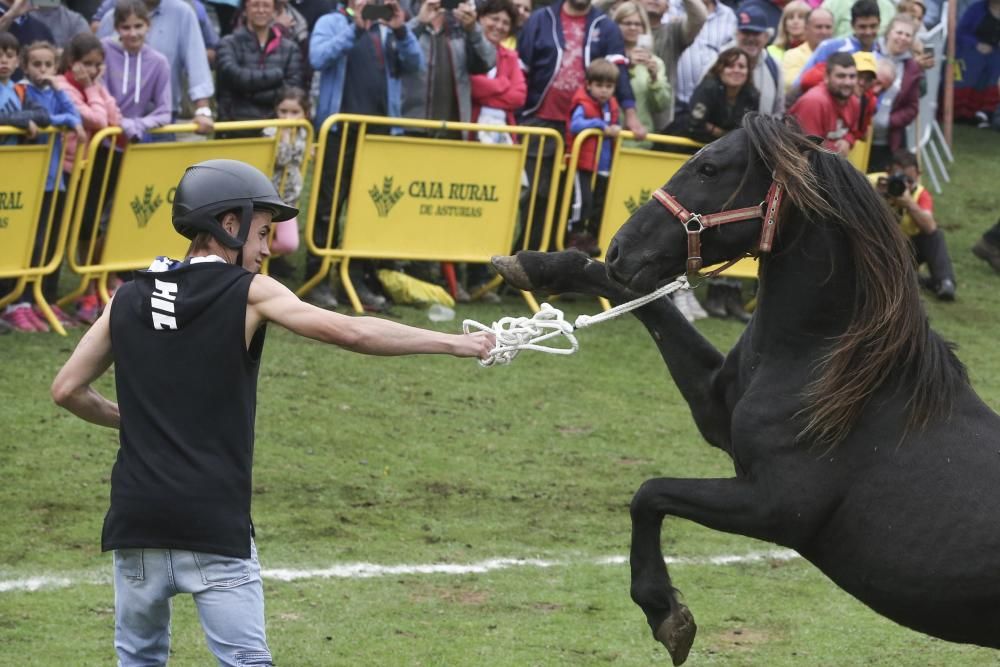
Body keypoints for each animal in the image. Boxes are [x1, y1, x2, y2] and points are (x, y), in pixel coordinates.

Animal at [492, 115, 1000, 664]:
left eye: (710, 168)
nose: (619, 249)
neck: (839, 373)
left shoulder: (772, 508)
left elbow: (649, 493)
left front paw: (665, 612)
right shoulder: (715, 409)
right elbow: (643, 301)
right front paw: (533, 264)